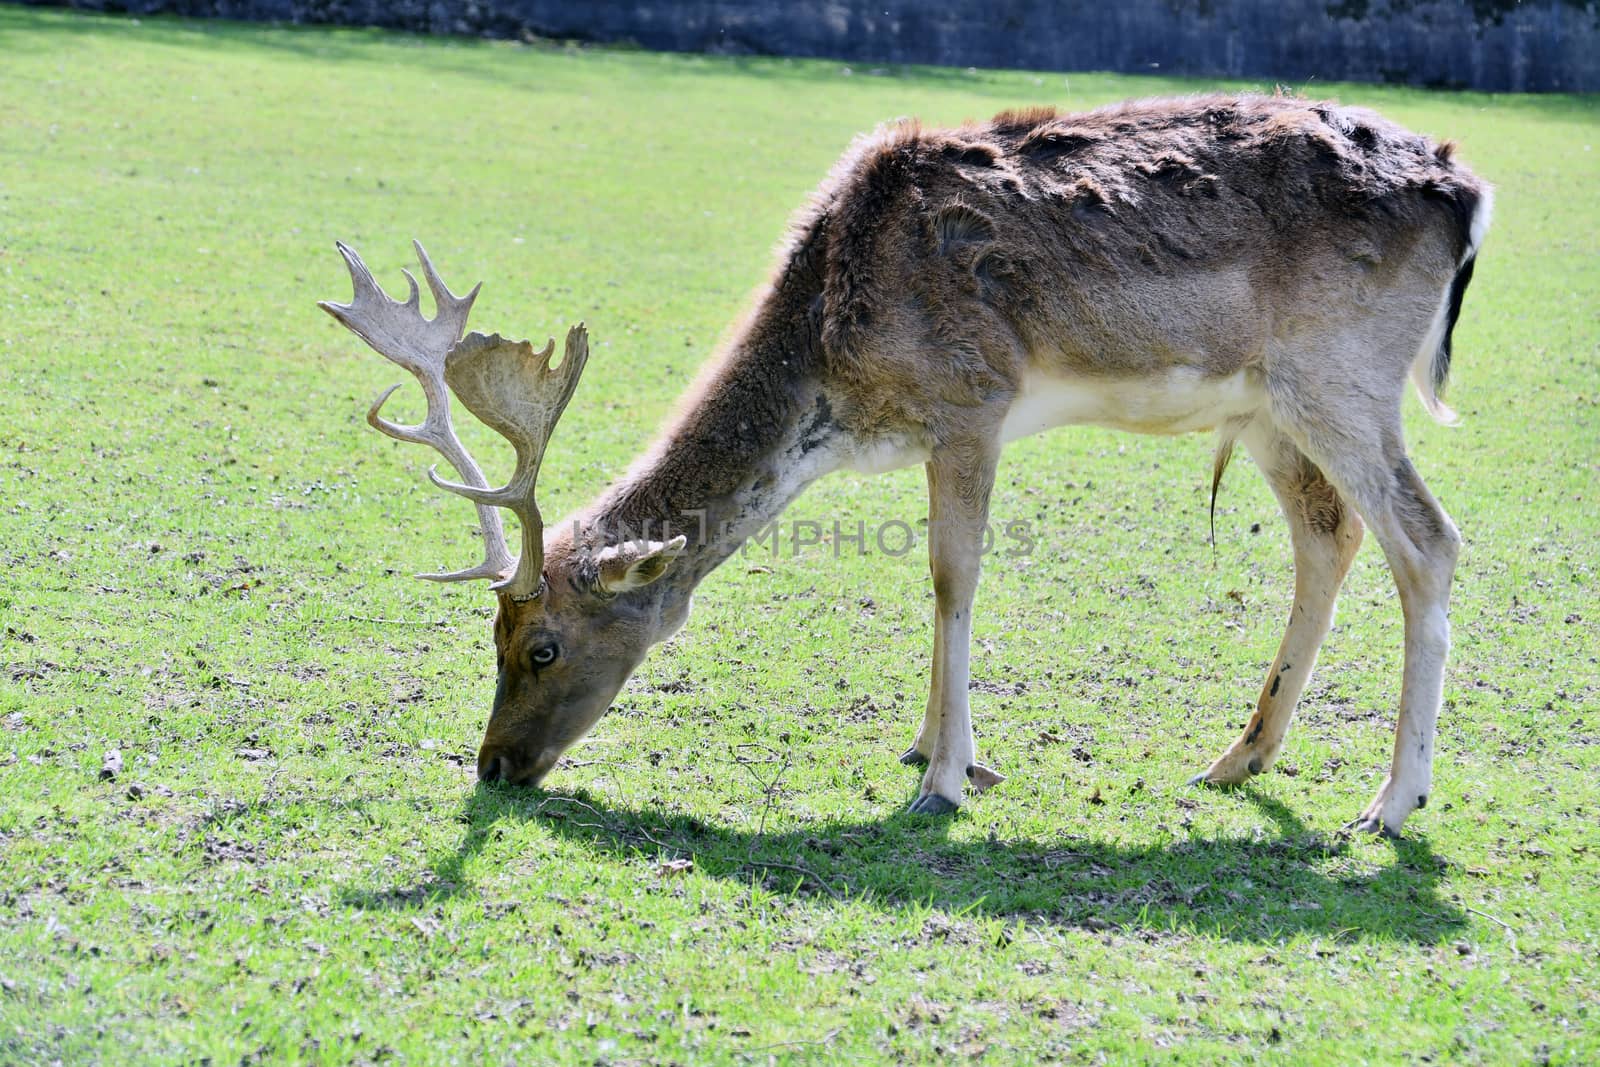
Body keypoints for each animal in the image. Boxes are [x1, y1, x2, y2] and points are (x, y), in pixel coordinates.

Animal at [321, 91, 1484, 838]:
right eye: (491, 635)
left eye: (545, 646)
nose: (493, 763)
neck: (839, 368)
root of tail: (1467, 195)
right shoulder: (940, 430)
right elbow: (935, 582)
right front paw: (933, 748)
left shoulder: (972, 401)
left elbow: (951, 578)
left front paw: (945, 781)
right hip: (1267, 405)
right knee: (1328, 534)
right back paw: (1241, 756)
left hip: (1339, 377)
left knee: (1429, 540)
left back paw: (1390, 804)